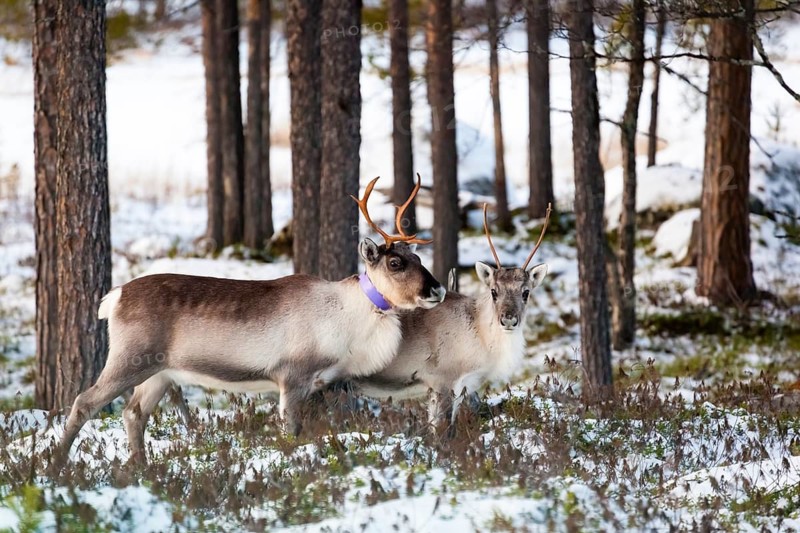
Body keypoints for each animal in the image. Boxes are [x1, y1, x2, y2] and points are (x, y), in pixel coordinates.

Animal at [55, 176, 445, 464]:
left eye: (418, 257)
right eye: (395, 263)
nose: (437, 289)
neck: (348, 320)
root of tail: (114, 297)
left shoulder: (321, 384)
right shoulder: (292, 376)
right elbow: (291, 430)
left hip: (159, 372)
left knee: (134, 413)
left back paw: (141, 469)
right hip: (130, 358)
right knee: (84, 401)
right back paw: (57, 467)